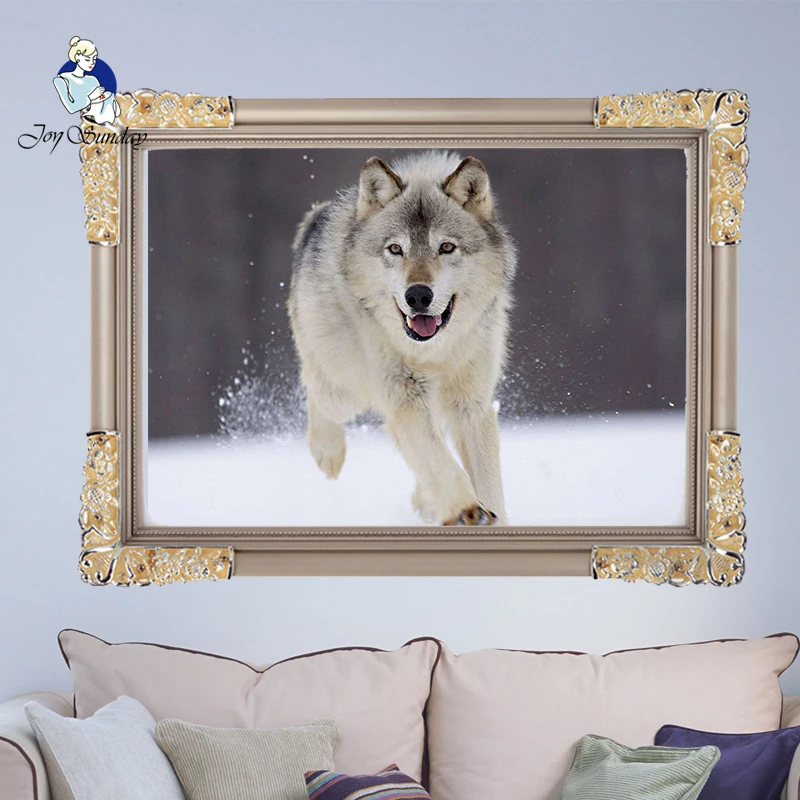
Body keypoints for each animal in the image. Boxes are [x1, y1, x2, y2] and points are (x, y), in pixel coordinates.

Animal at [288, 150, 517, 525]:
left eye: (446, 247)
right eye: (395, 249)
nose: (418, 295)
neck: (433, 353)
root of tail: (315, 216)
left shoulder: (472, 404)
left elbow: (486, 481)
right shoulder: (405, 396)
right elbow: (441, 463)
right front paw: (466, 509)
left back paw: (425, 502)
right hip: (344, 389)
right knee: (314, 386)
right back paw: (328, 453)